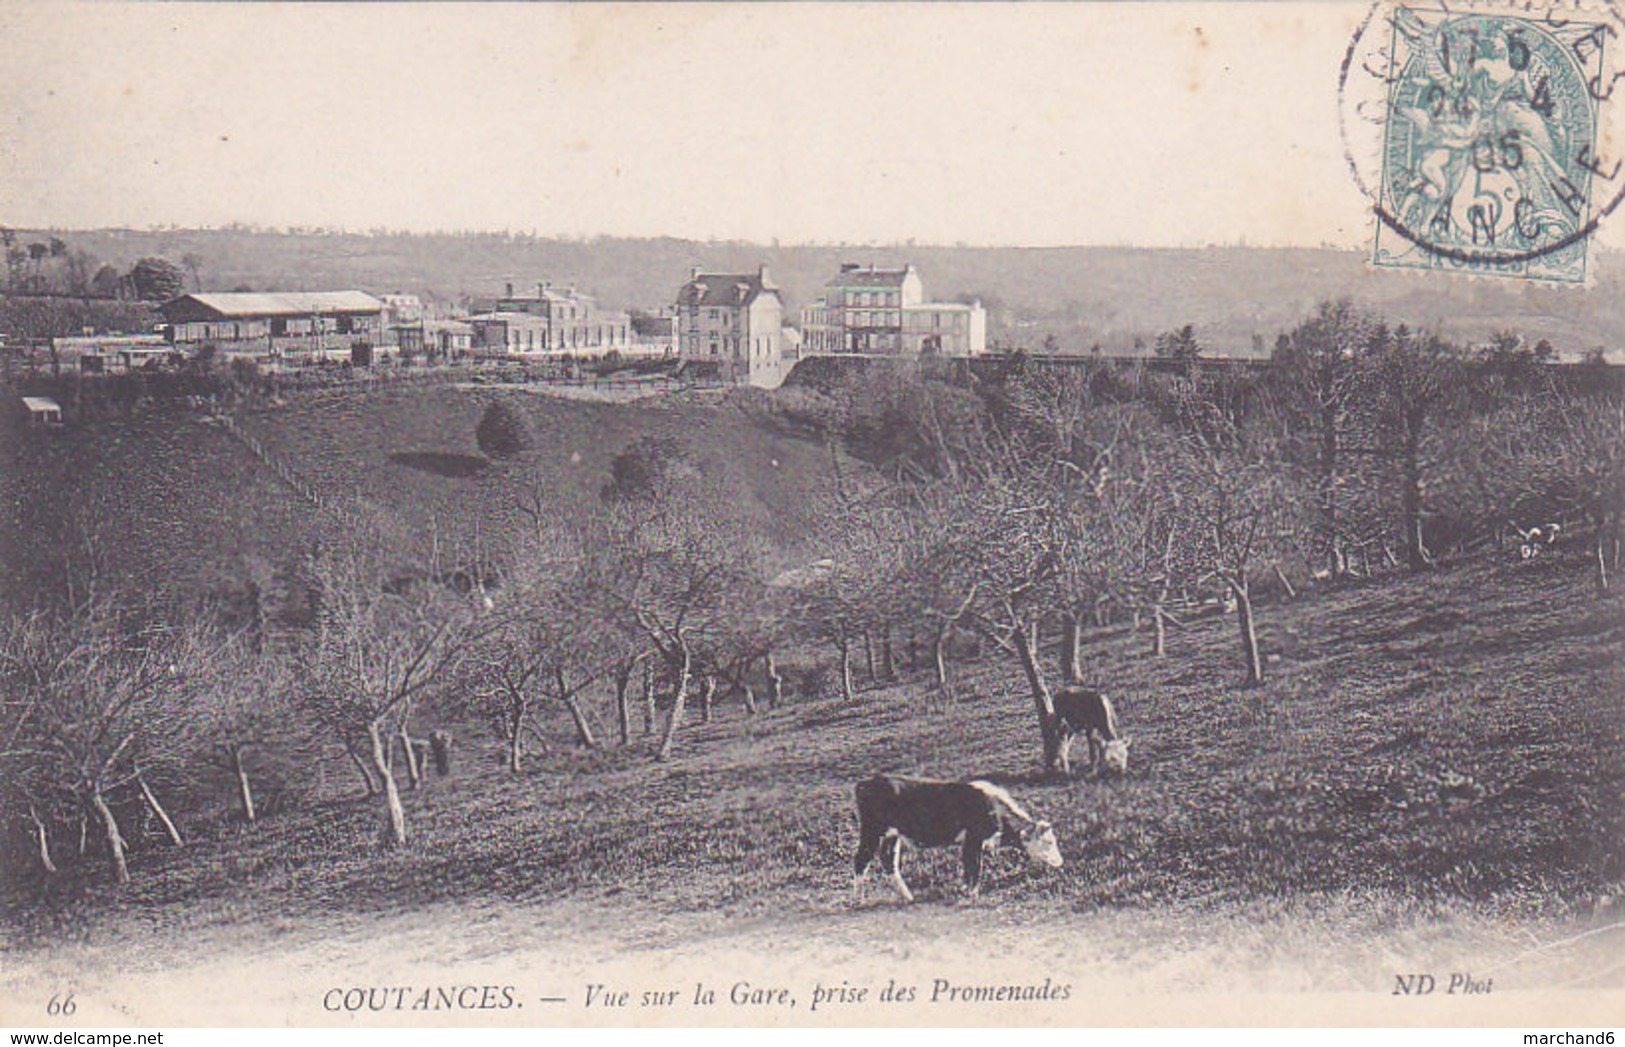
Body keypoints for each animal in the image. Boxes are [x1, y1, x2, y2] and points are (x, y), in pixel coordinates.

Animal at [851, 773, 1066, 903]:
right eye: (1048, 842)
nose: (1060, 862)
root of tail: (868, 781)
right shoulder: (973, 837)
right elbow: (974, 866)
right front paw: (973, 894)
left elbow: (969, 866)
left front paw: (967, 890)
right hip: (872, 830)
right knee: (861, 860)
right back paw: (859, 899)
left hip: (892, 835)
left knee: (889, 861)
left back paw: (908, 896)